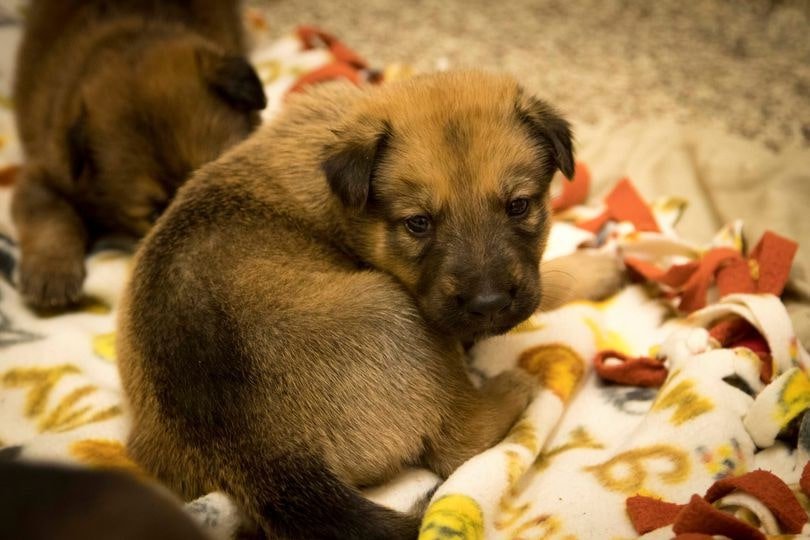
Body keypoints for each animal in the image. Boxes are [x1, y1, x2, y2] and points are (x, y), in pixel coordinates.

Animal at [117, 73, 612, 540]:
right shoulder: (435, 313)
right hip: (394, 310)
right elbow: (549, 289)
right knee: (462, 442)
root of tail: (265, 455)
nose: (488, 304)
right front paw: (600, 269)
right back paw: (518, 385)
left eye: (519, 206)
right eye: (418, 224)